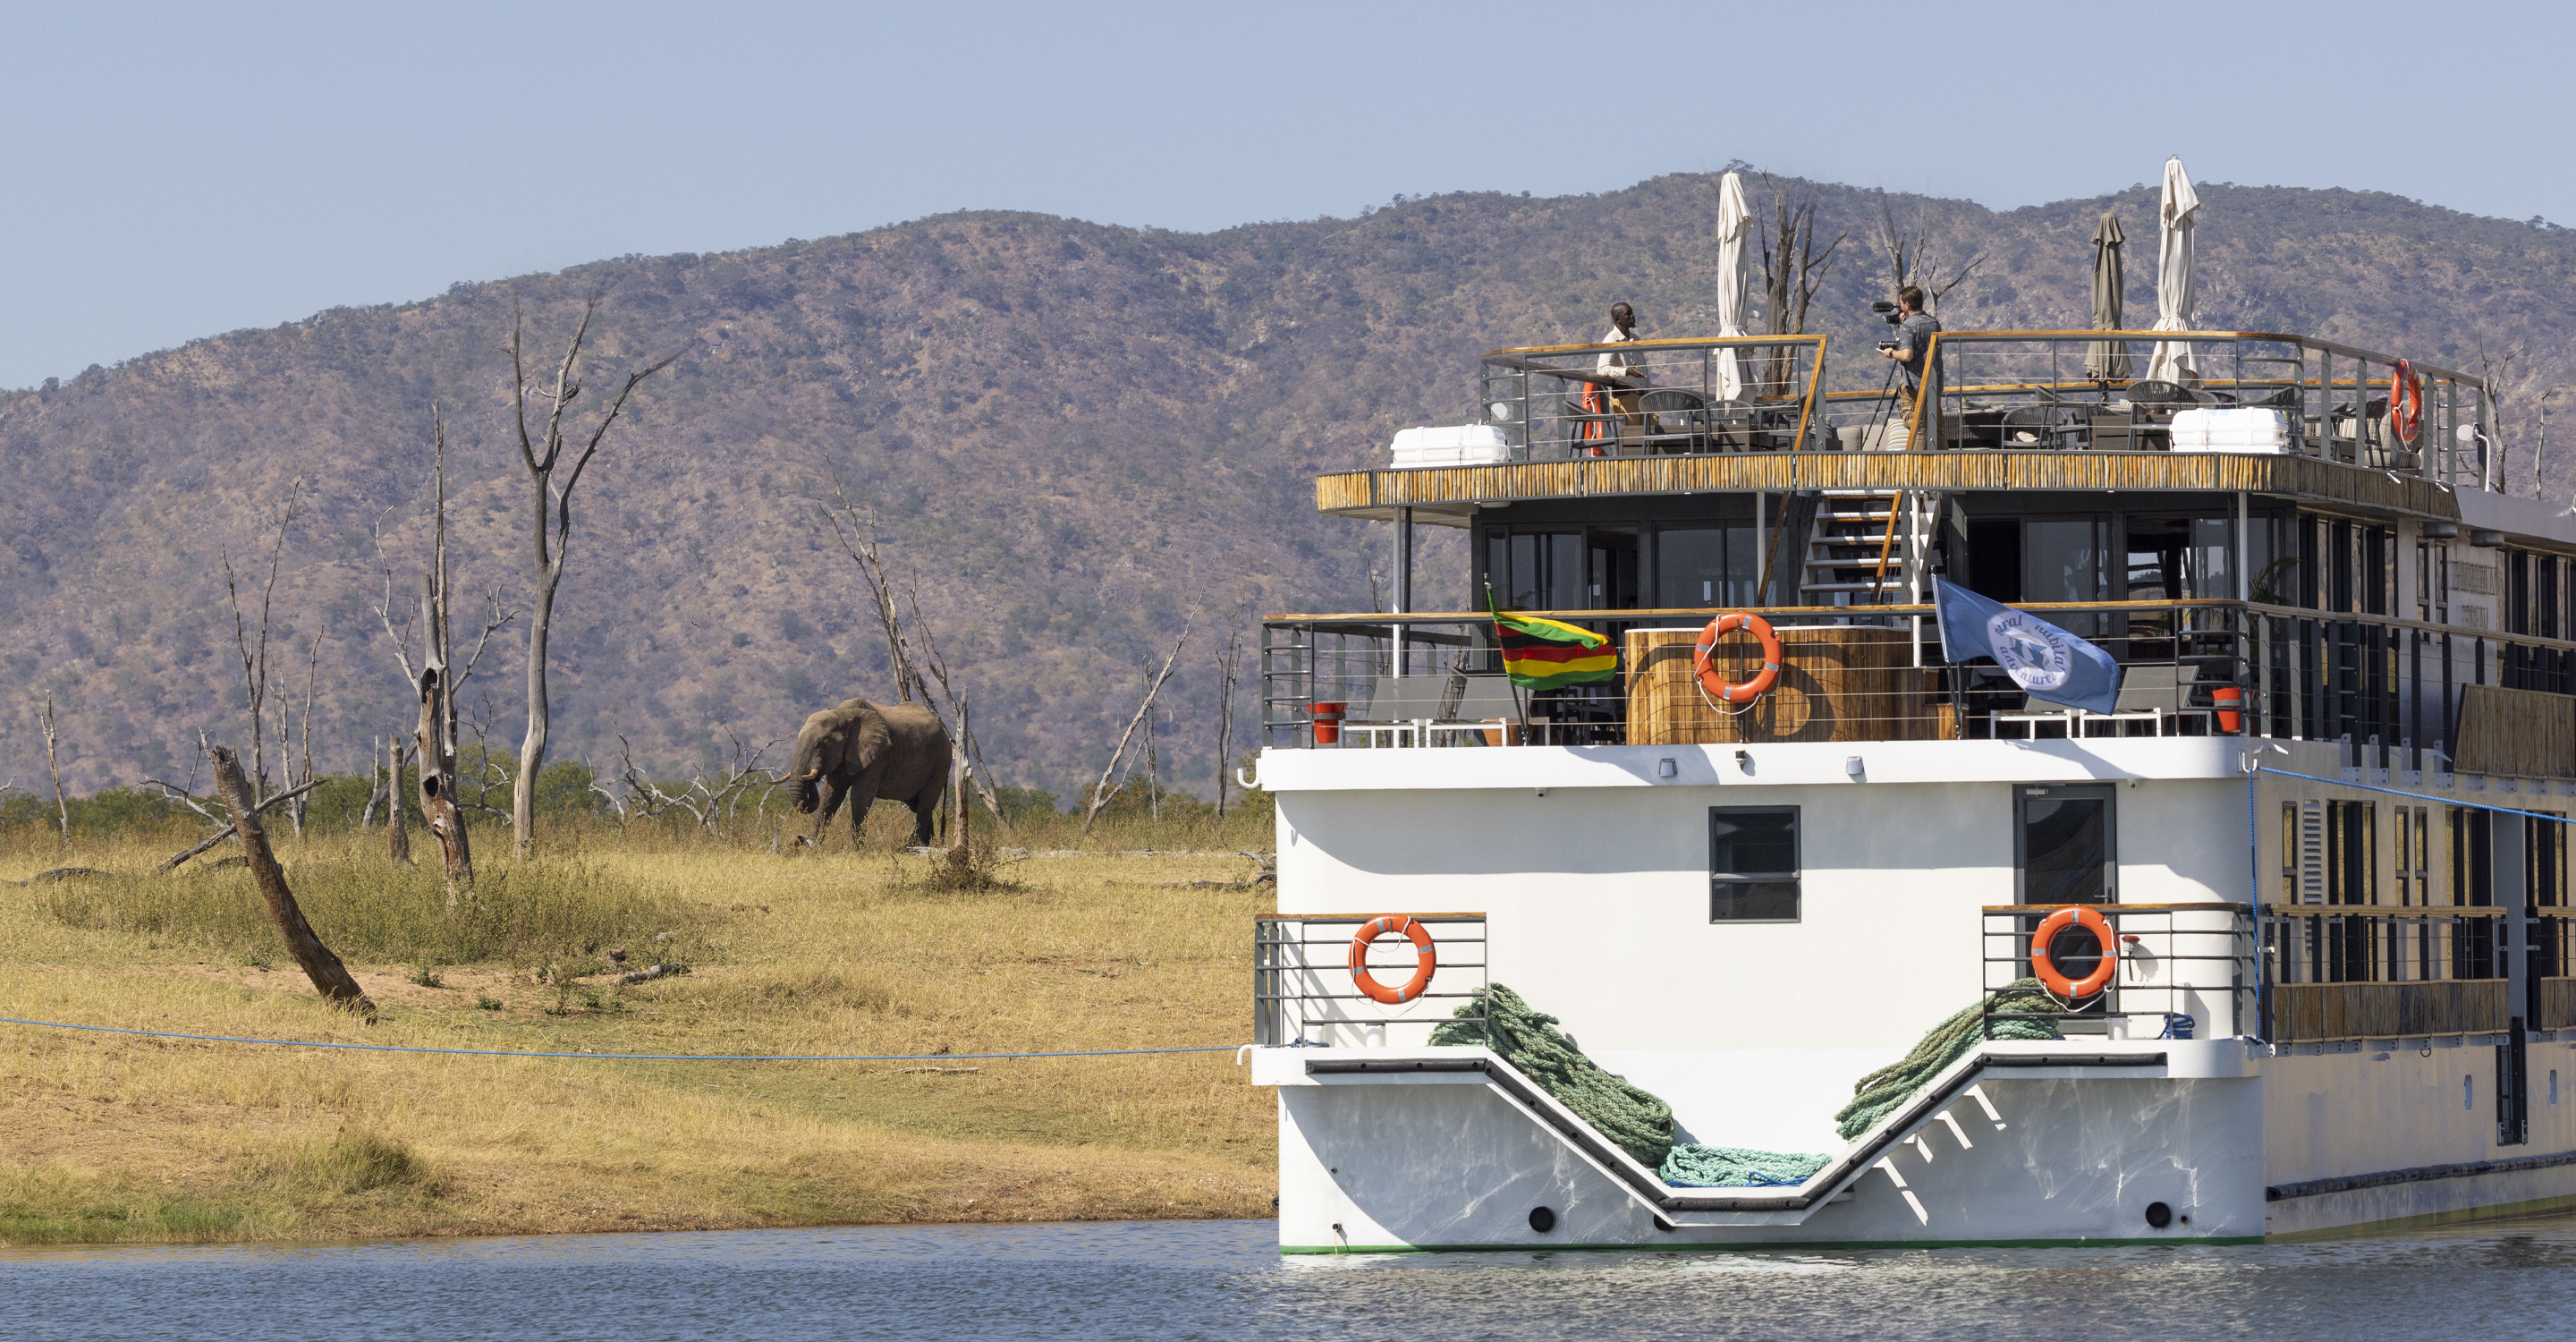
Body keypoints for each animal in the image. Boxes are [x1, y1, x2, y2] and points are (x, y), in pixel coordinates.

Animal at [783, 695, 958, 845]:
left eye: (825, 743)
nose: (814, 776)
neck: (842, 714)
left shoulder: (878, 756)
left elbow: (859, 796)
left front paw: (855, 851)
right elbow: (830, 795)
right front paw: (811, 846)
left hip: (941, 761)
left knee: (924, 806)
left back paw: (912, 847)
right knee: (919, 806)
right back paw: (926, 846)